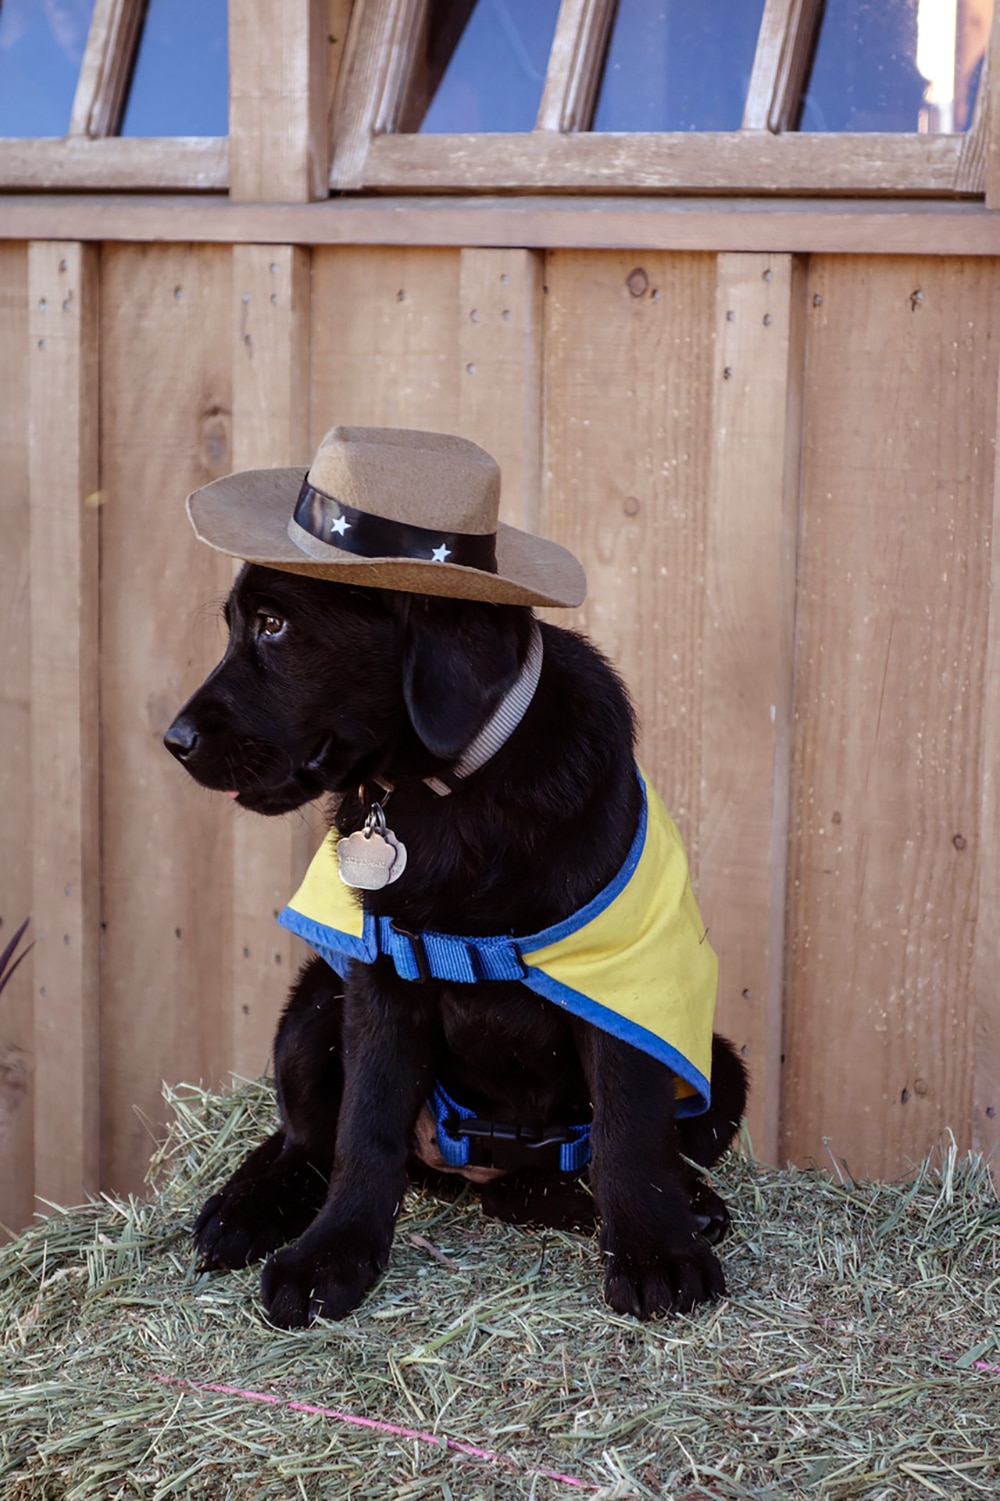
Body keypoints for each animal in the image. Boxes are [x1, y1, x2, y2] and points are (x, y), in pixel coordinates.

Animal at [165, 564, 738, 1326]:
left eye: (274, 625)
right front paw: (332, 1254)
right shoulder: (381, 974)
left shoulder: (619, 973)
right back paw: (247, 1206)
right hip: (316, 1001)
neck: (455, 790)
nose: (173, 740)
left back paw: (680, 1205)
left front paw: (656, 1252)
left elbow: (628, 1130)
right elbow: (365, 1126)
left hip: (722, 1070)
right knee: (305, 1141)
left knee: (540, 1180)